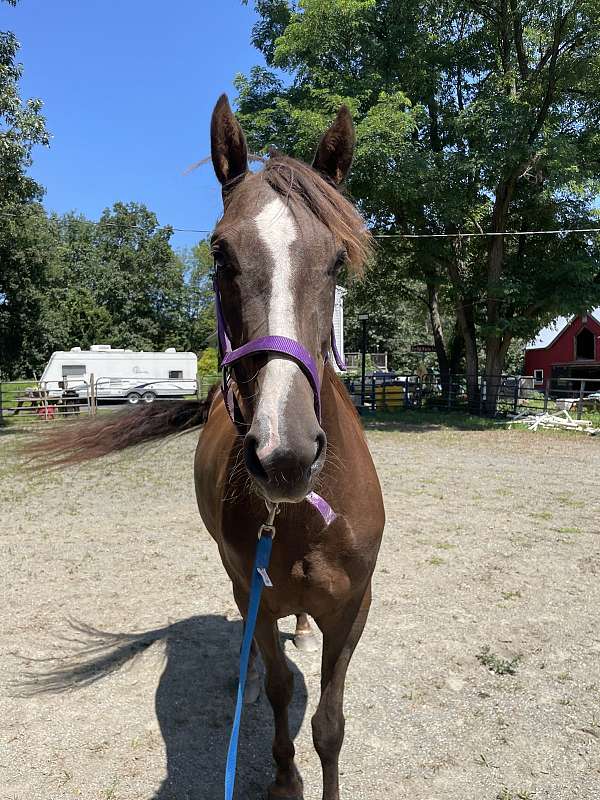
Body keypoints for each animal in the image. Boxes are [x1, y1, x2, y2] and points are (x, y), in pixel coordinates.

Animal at [30, 95, 385, 800]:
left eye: (337, 261)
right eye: (220, 256)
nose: (285, 454)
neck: (299, 519)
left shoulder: (352, 612)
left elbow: (330, 723)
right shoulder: (257, 594)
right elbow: (278, 690)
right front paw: (283, 779)